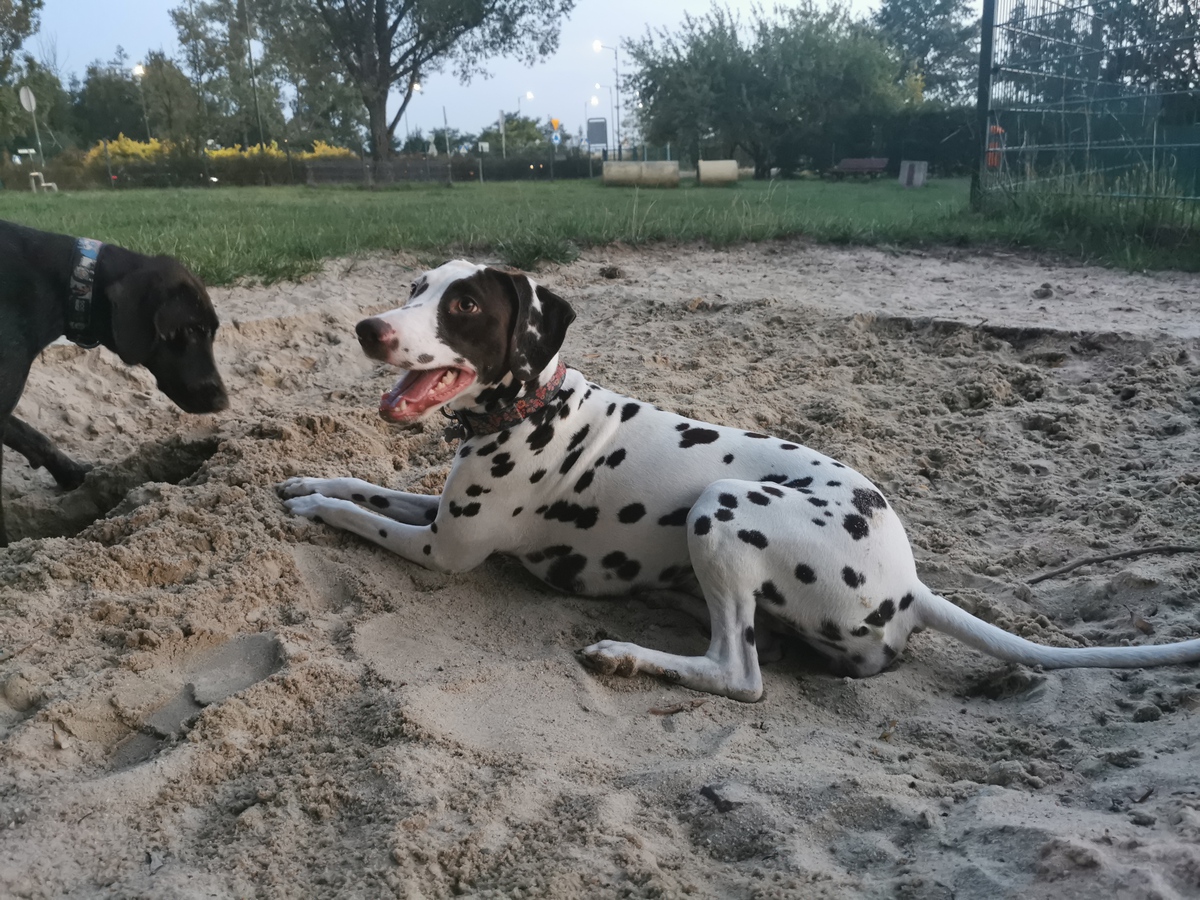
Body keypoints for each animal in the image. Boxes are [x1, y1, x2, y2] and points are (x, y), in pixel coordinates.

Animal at [278, 260, 1200, 705]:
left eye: (464, 307)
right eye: (414, 289)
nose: (367, 328)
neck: (534, 406)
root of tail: (910, 586)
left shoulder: (442, 549)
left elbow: (357, 515)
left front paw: (312, 509)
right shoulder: (439, 510)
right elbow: (361, 478)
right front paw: (302, 478)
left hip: (723, 510)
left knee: (740, 675)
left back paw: (629, 654)